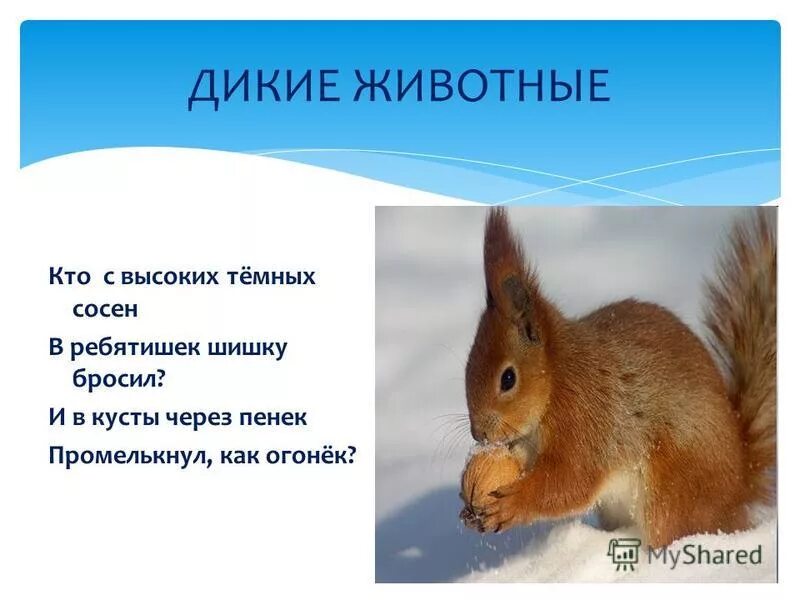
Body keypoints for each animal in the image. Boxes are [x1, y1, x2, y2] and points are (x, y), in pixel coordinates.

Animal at [461, 208, 776, 548]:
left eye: (508, 379)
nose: (479, 434)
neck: (557, 379)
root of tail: (741, 487)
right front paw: (468, 509)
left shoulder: (586, 418)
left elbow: (570, 480)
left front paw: (512, 504)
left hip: (673, 492)